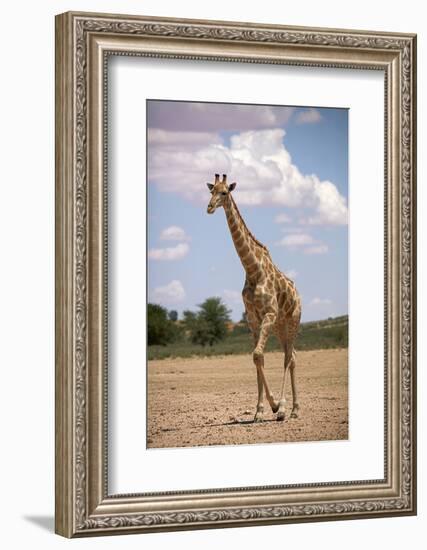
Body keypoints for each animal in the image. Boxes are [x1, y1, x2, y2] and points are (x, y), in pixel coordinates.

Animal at [206, 175, 300, 424]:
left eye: (225, 193)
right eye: (211, 191)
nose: (209, 207)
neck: (252, 269)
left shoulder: (268, 313)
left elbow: (258, 354)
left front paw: (276, 406)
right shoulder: (253, 319)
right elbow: (258, 358)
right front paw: (259, 411)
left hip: (292, 323)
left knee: (289, 357)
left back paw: (288, 408)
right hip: (279, 327)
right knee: (292, 356)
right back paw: (294, 408)